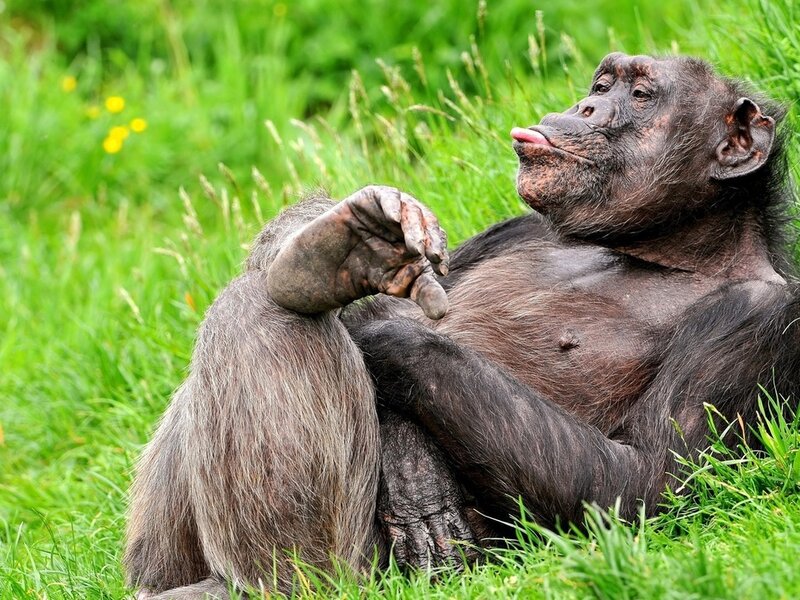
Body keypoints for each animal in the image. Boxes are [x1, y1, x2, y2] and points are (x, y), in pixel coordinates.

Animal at [124, 53, 800, 599]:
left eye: (639, 96)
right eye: (603, 84)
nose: (585, 105)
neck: (658, 250)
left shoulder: (756, 322)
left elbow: (641, 484)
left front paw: (388, 348)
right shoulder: (516, 227)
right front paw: (364, 243)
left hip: (365, 571)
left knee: (267, 314)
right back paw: (329, 258)